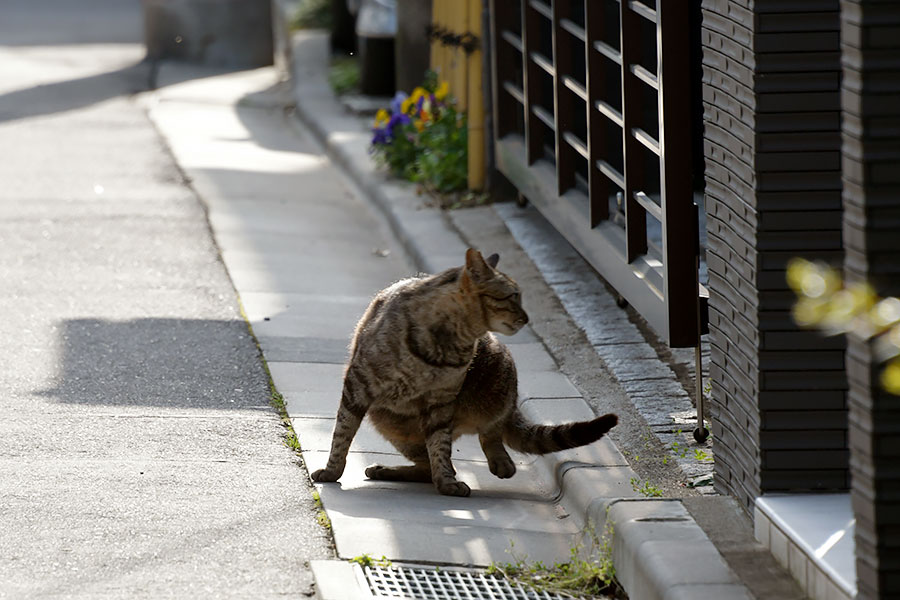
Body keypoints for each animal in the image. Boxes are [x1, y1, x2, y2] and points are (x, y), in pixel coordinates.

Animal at [312, 248, 620, 496]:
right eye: (513, 296)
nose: (526, 317)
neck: (451, 341)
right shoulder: (357, 385)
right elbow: (341, 434)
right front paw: (332, 472)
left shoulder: (442, 401)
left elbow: (440, 448)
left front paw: (447, 483)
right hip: (388, 421)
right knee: (426, 465)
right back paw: (387, 470)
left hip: (497, 380)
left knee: (489, 430)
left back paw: (499, 462)